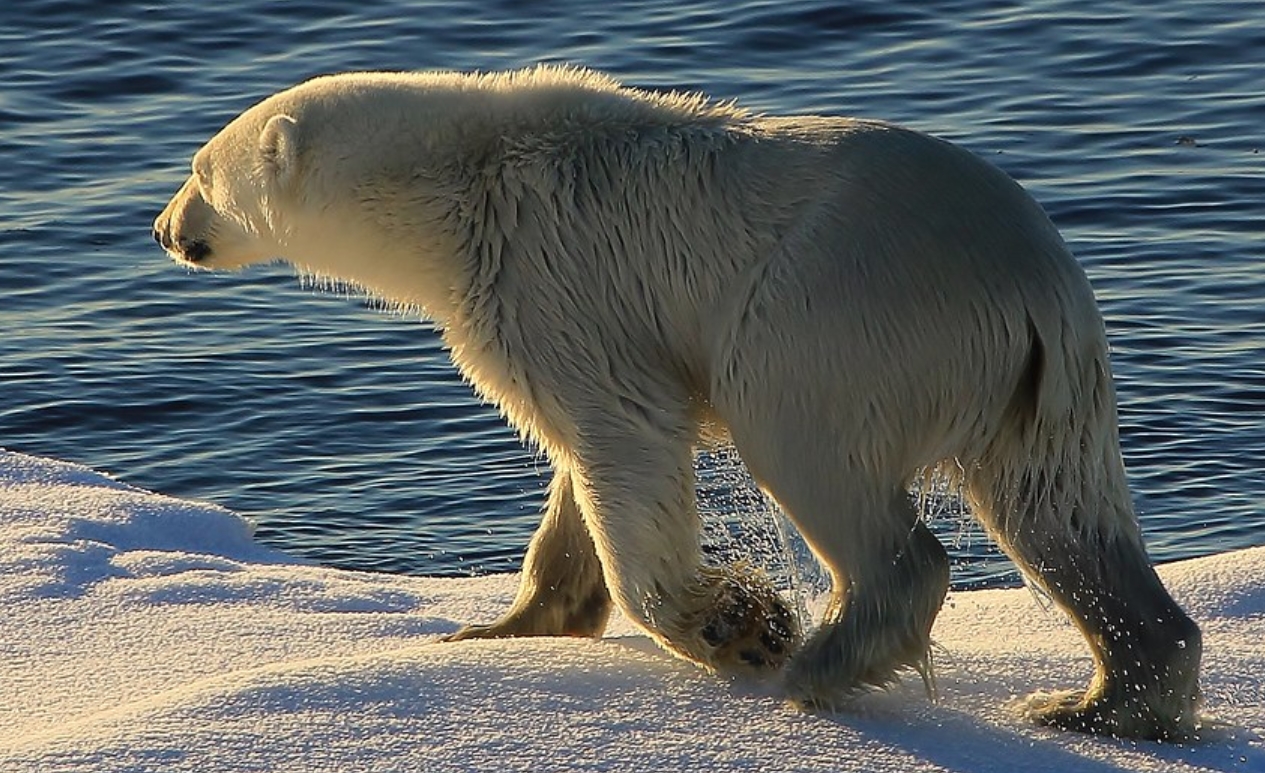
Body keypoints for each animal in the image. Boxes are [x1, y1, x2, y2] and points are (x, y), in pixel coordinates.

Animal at [153, 65, 1201, 740]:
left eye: (199, 170)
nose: (164, 228)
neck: (457, 183)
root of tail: (1030, 283)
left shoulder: (546, 281)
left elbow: (620, 442)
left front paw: (734, 622)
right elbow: (579, 472)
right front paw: (500, 626)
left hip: (830, 319)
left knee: (817, 460)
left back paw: (815, 662)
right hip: (1038, 384)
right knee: (1056, 507)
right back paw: (1104, 701)